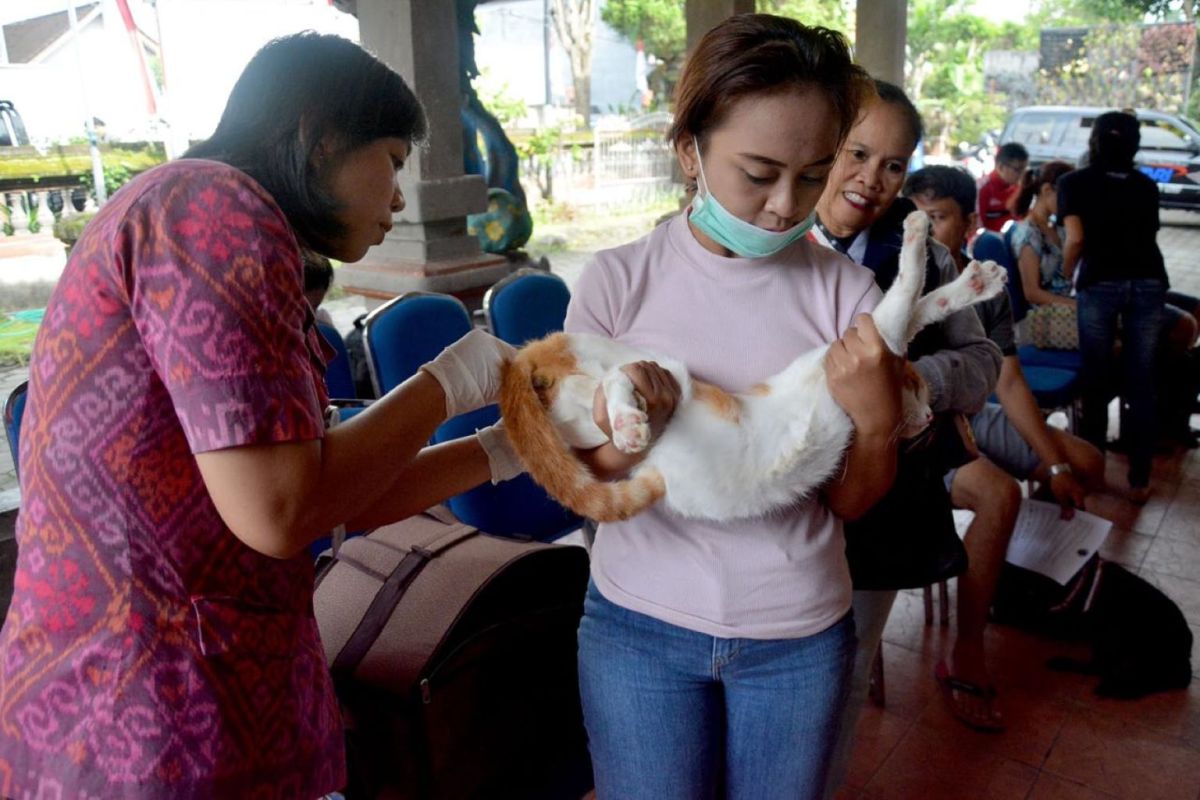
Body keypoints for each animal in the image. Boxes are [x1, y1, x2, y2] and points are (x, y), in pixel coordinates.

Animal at [496, 212, 1003, 522]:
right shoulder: (871, 337)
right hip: (654, 369)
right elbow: (910, 294)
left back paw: (624, 425)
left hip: (588, 421)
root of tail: (531, 354)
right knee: (616, 380)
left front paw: (978, 283)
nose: (928, 416)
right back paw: (627, 421)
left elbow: (924, 307)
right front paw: (919, 234)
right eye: (918, 386)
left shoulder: (873, 342)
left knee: (596, 397)